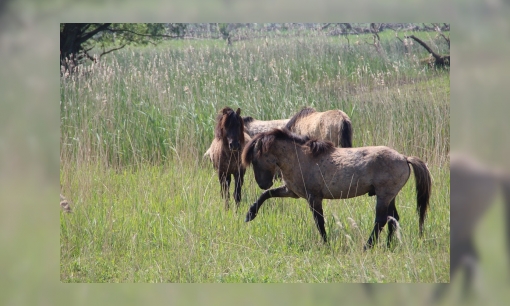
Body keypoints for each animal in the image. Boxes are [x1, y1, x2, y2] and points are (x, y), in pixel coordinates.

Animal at [242, 128, 430, 250]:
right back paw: (388, 246)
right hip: (390, 196)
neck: (300, 158)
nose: (262, 183)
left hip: (383, 196)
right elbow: (267, 194)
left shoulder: (314, 197)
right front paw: (250, 214)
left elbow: (319, 222)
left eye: (255, 159)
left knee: (381, 220)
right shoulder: (292, 192)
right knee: (393, 219)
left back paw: (367, 247)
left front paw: (326, 244)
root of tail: (404, 158)